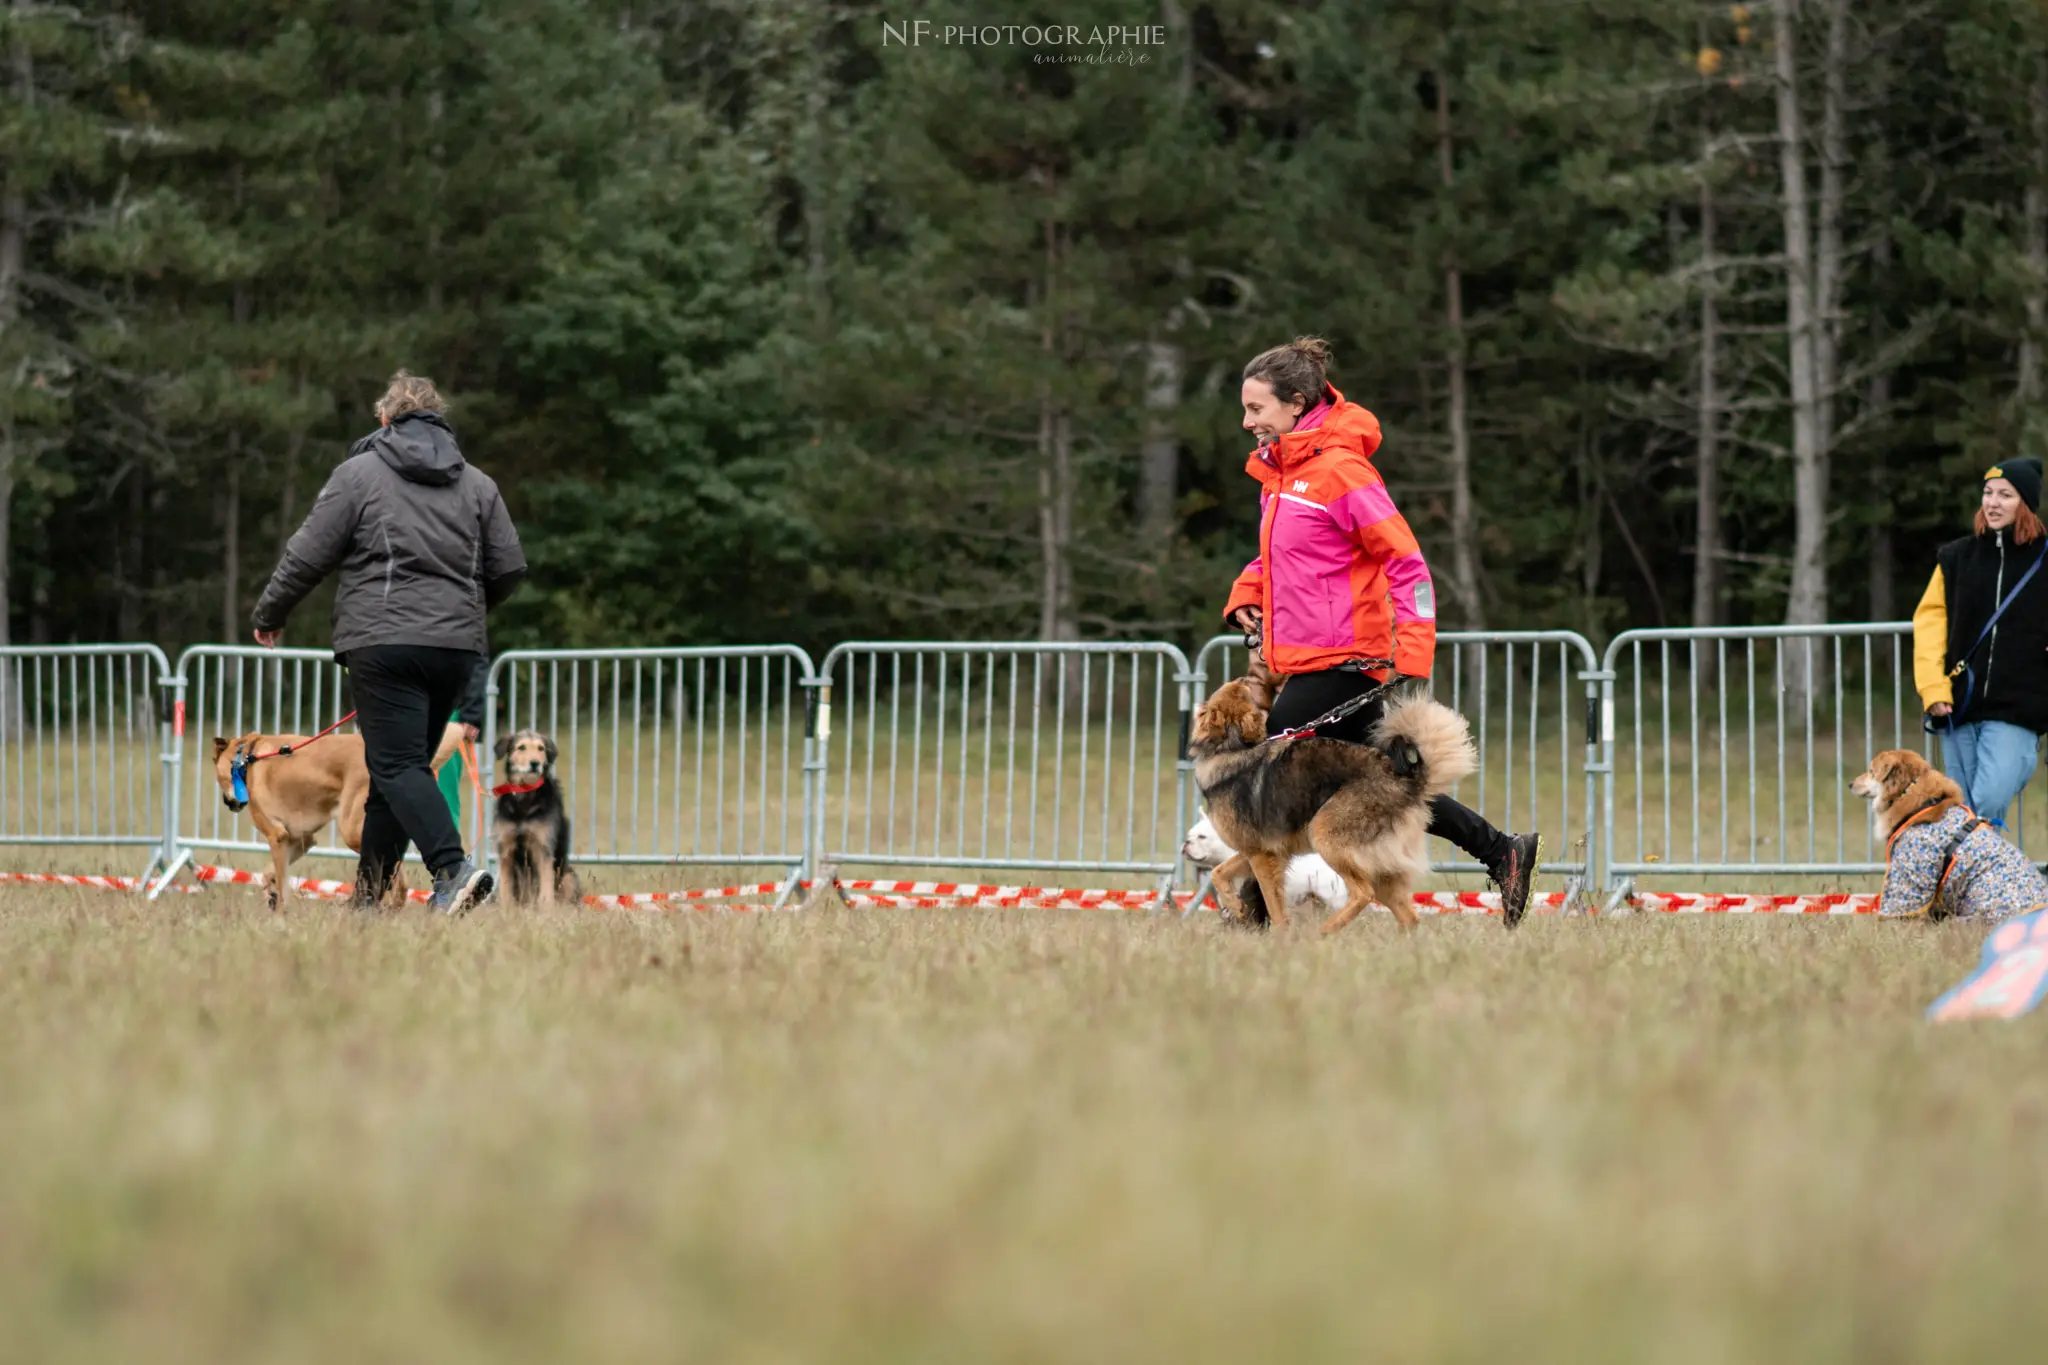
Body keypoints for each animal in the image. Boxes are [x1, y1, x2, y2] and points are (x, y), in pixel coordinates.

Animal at [209, 732, 405, 912]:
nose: (227, 802)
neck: (244, 759)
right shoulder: (299, 841)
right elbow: (268, 875)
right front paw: (271, 896)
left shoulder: (277, 837)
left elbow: (281, 886)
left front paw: (279, 915)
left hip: (354, 831)